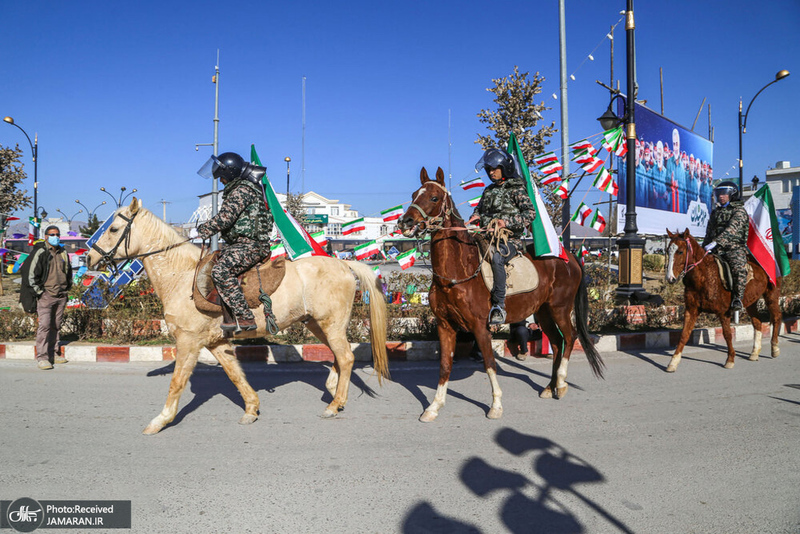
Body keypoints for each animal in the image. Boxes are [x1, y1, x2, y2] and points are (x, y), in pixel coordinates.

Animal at [86, 200, 390, 436]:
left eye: (113, 229)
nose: (90, 258)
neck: (181, 275)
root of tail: (343, 264)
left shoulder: (188, 341)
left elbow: (177, 382)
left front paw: (159, 421)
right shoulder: (217, 343)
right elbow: (235, 376)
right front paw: (252, 409)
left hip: (330, 324)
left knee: (346, 357)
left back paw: (333, 404)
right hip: (317, 325)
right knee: (340, 356)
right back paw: (333, 390)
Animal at [396, 168, 604, 422]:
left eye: (434, 198)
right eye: (414, 194)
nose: (405, 222)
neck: (456, 275)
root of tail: (569, 256)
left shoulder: (479, 327)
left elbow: (489, 363)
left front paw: (495, 405)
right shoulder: (445, 325)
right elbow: (445, 365)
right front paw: (434, 407)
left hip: (560, 308)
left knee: (570, 336)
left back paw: (562, 384)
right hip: (543, 312)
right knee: (556, 343)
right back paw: (549, 387)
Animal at [664, 229, 780, 372]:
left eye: (680, 251)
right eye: (668, 250)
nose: (670, 278)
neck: (704, 277)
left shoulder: (723, 312)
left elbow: (727, 334)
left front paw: (730, 360)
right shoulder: (691, 310)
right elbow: (684, 335)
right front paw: (673, 362)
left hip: (771, 295)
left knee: (776, 317)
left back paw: (774, 348)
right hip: (751, 302)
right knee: (757, 323)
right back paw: (754, 352)